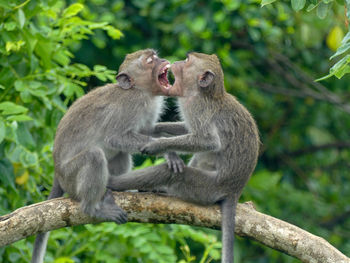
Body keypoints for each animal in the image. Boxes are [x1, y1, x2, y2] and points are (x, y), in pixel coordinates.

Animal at [31, 49, 185, 263]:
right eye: (149, 60)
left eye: (155, 56)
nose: (162, 59)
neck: (141, 91)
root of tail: (57, 174)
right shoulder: (132, 105)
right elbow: (115, 138)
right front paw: (169, 151)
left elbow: (146, 131)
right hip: (71, 177)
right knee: (94, 156)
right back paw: (93, 208)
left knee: (121, 154)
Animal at [107, 52, 260, 263]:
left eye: (187, 61)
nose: (178, 61)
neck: (205, 93)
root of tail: (234, 191)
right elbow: (188, 131)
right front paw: (157, 130)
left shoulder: (197, 107)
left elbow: (207, 141)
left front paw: (157, 145)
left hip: (206, 187)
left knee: (172, 173)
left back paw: (113, 183)